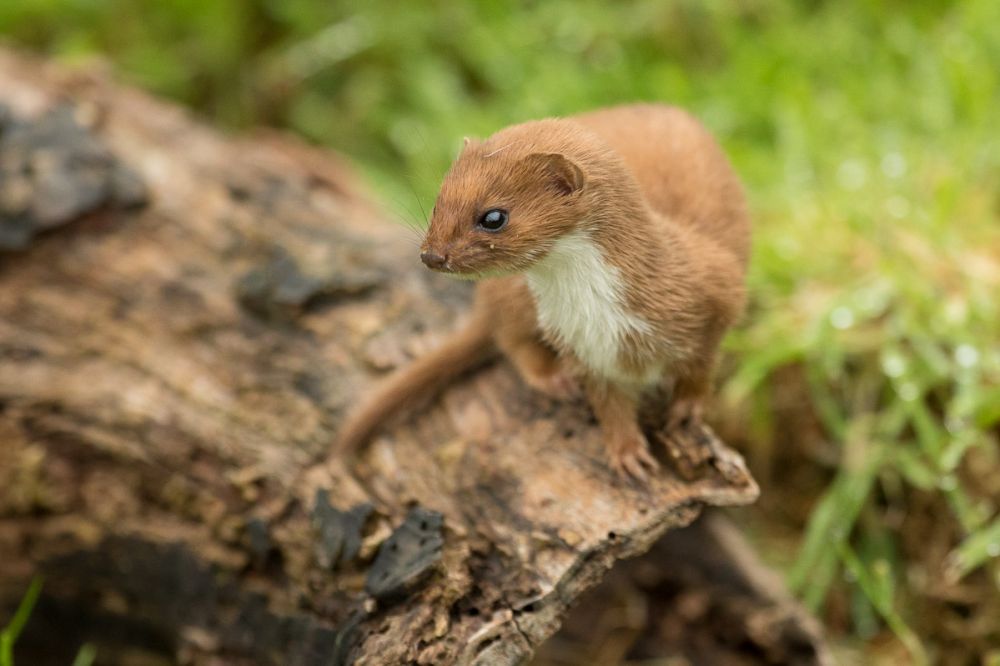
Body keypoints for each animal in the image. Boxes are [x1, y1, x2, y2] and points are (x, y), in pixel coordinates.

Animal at [336, 102, 752, 478]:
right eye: (439, 200)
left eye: (493, 217)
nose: (432, 255)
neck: (597, 314)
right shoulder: (582, 348)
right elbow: (609, 404)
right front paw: (626, 453)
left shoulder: (720, 289)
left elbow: (703, 363)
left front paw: (687, 408)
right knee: (508, 335)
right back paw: (553, 379)